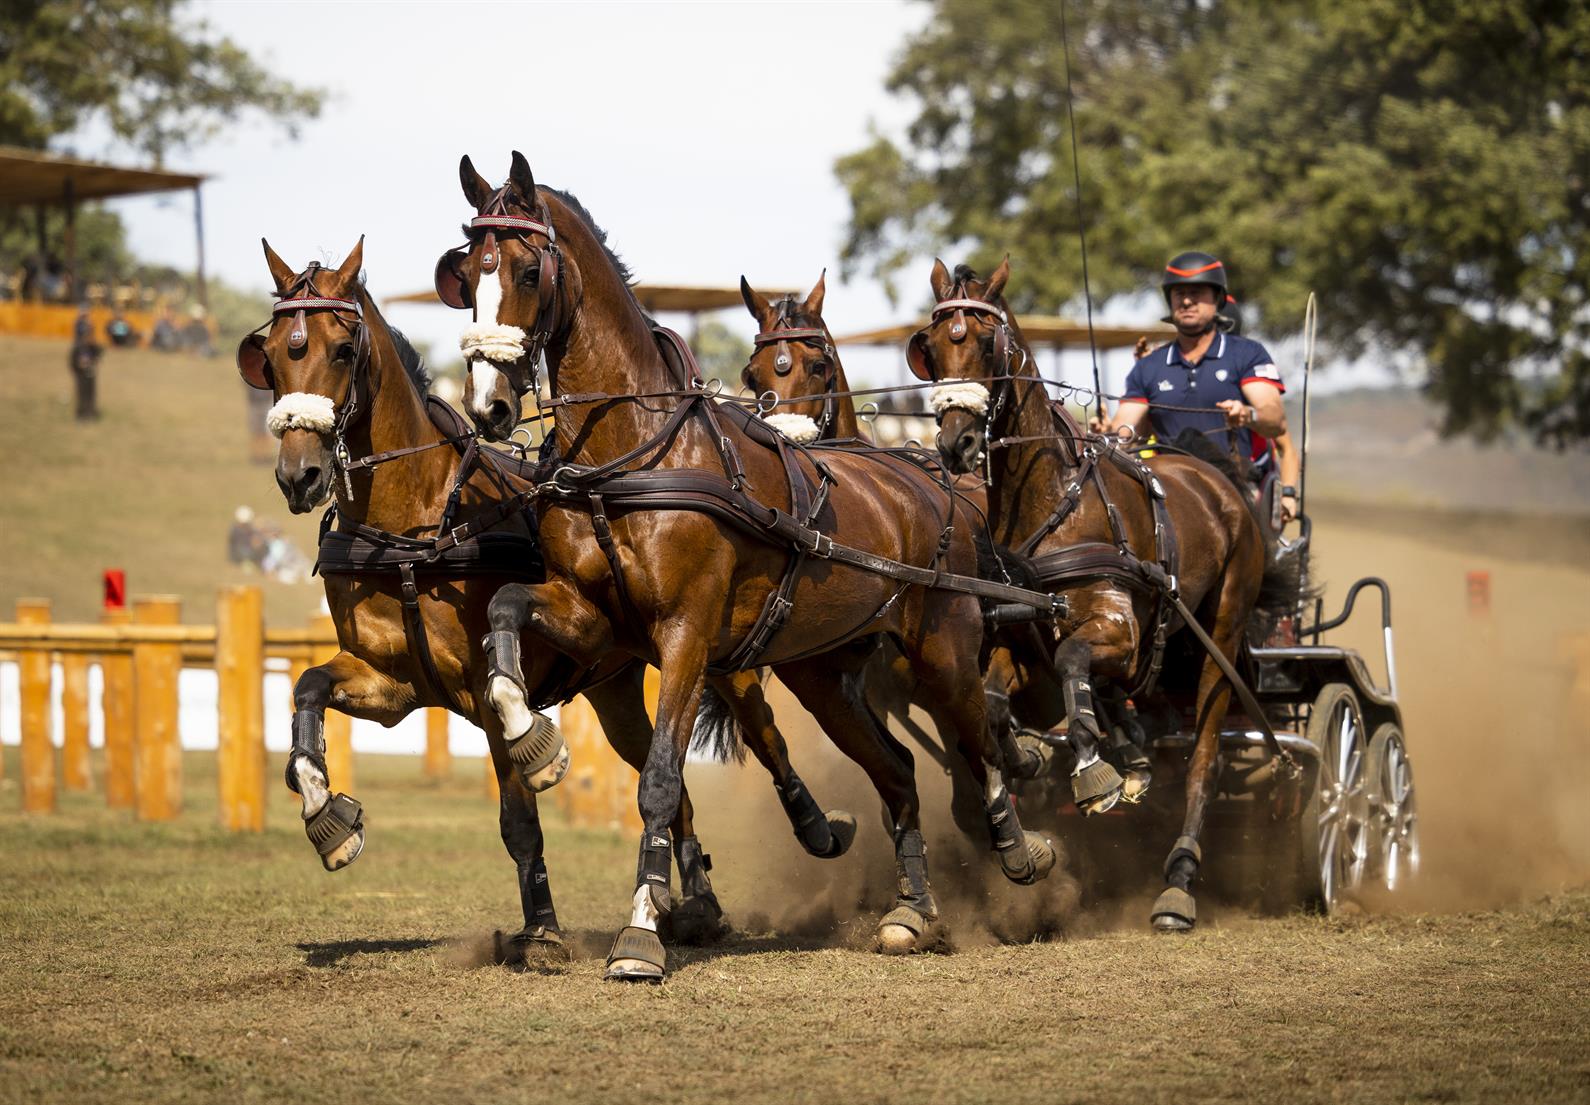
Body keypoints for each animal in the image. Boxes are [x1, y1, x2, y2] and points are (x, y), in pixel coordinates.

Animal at [435, 153, 1055, 979]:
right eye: (466, 268)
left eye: (530, 269)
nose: (488, 405)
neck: (634, 452)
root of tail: (933, 479)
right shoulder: (595, 618)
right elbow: (504, 610)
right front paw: (531, 739)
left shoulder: (686, 634)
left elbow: (662, 781)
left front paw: (642, 934)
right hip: (824, 673)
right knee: (897, 769)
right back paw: (914, 912)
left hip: (943, 647)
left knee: (981, 735)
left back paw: (1020, 847)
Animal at [909, 259, 1291, 934]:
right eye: (929, 347)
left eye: (985, 343)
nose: (955, 444)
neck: (1054, 497)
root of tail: (1215, 476)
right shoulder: (1019, 639)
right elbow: (993, 701)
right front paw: (1027, 757)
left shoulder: (1118, 631)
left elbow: (1072, 661)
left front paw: (1093, 770)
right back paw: (1132, 755)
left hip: (1219, 635)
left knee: (1205, 759)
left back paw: (1178, 881)